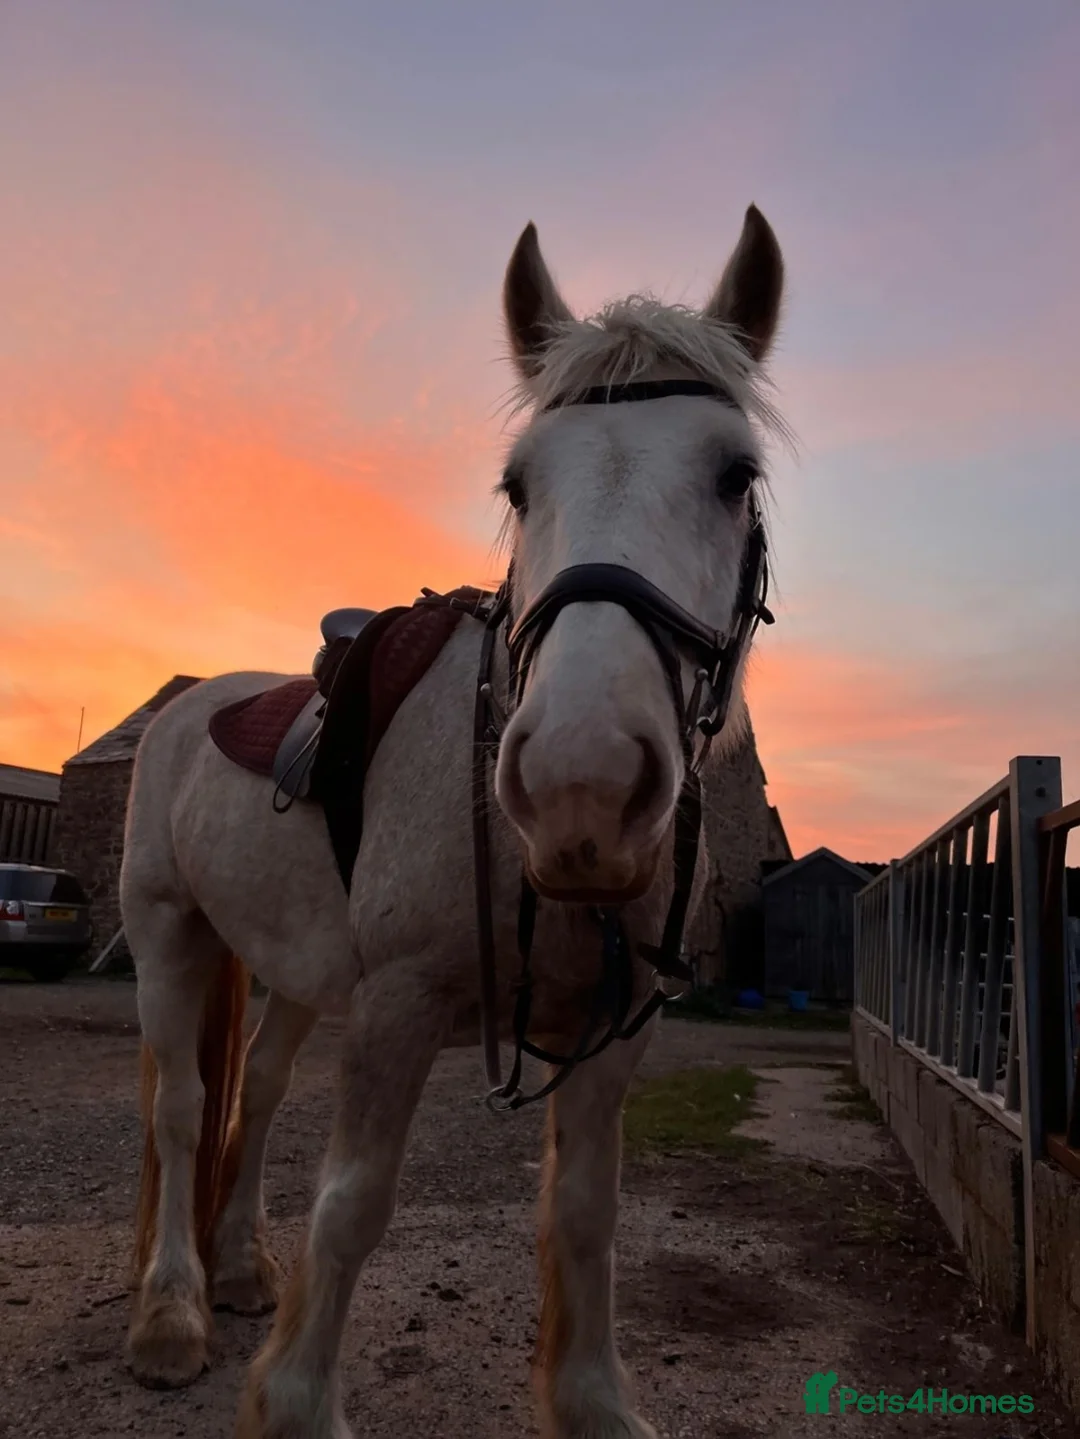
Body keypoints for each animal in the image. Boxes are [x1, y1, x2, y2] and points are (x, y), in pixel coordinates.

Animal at [122, 204, 787, 1439]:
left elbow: (585, 1214)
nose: (581, 779)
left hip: (291, 970)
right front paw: (296, 1404)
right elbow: (352, 1204)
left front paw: (592, 1400)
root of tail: (189, 703)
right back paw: (172, 1315)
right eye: (518, 485)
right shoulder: (396, 1004)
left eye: (737, 474)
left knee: (258, 1086)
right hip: (167, 934)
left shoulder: (615, 1029)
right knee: (186, 1108)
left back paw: (237, 1271)